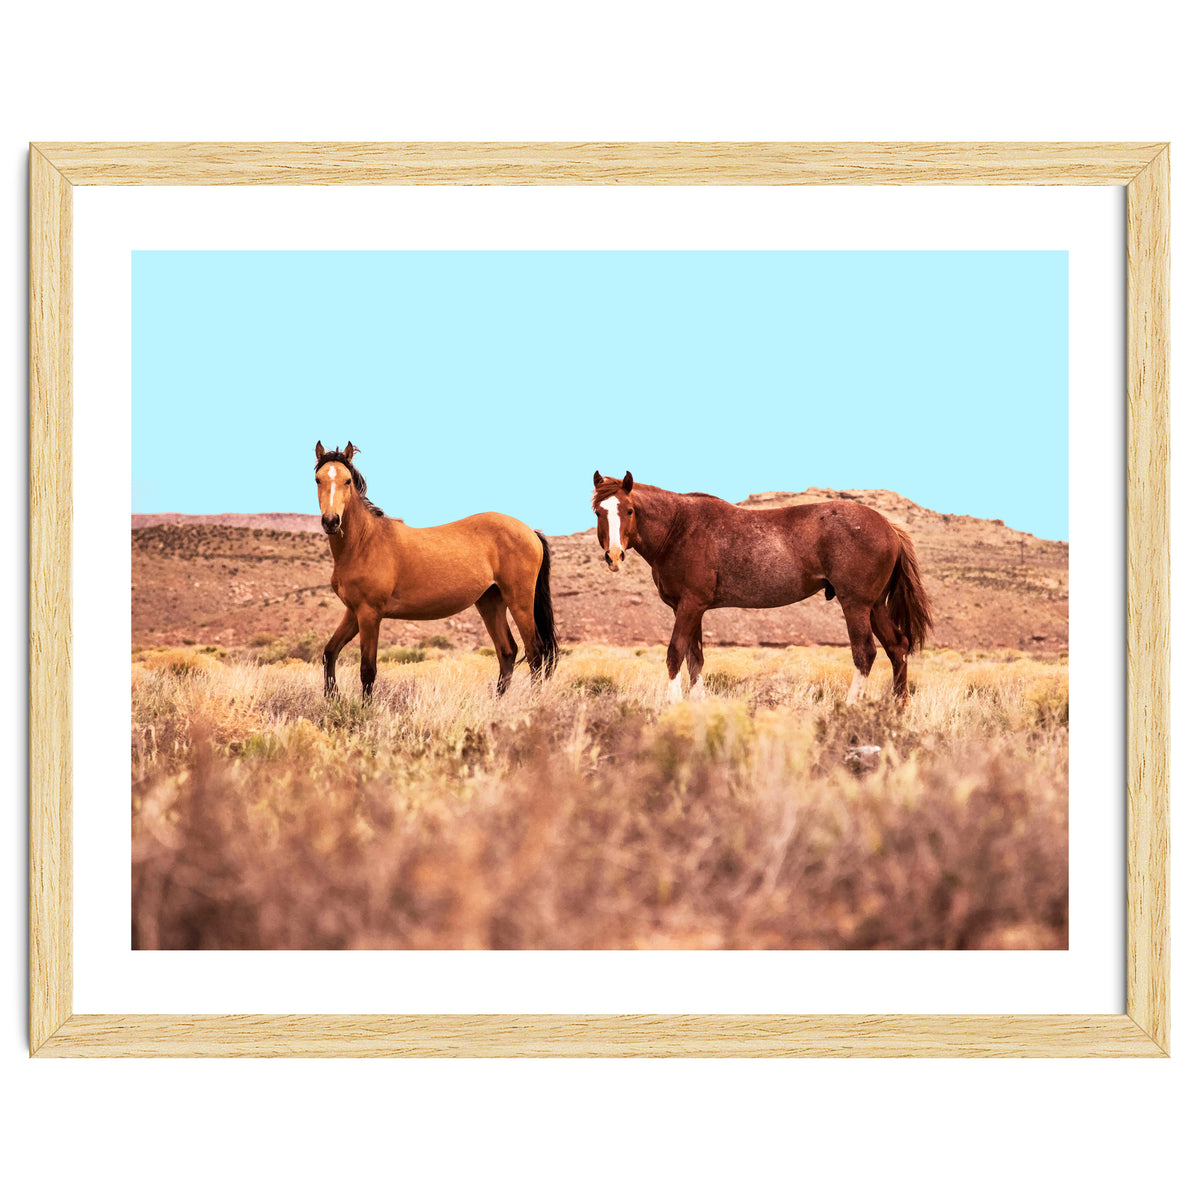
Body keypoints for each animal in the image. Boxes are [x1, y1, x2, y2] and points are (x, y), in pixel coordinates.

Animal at [313, 440, 559, 700]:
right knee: (507, 651)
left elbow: (367, 670)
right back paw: (498, 703)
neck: (364, 542)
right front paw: (332, 697)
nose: (331, 521)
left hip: (519, 601)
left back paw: (532, 701)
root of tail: (530, 531)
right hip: (490, 602)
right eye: (318, 479)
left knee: (535, 653)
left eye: (347, 480)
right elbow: (329, 652)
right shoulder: (354, 612)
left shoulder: (370, 613)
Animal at [591, 471, 932, 705]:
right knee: (897, 648)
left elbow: (675, 653)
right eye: (598, 512)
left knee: (865, 653)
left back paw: (850, 707)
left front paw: (673, 705)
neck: (679, 528)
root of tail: (888, 526)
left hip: (856, 605)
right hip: (874, 606)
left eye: (629, 510)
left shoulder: (690, 606)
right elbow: (695, 659)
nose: (614, 556)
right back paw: (897, 708)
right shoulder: (691, 609)